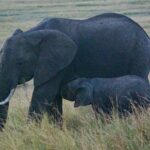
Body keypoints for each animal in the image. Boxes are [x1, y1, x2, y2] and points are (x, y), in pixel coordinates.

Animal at [0, 12, 150, 128]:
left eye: (20, 62)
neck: (32, 33)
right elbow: (54, 98)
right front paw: (58, 132)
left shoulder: (58, 61)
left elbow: (44, 93)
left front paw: (30, 132)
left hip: (139, 54)